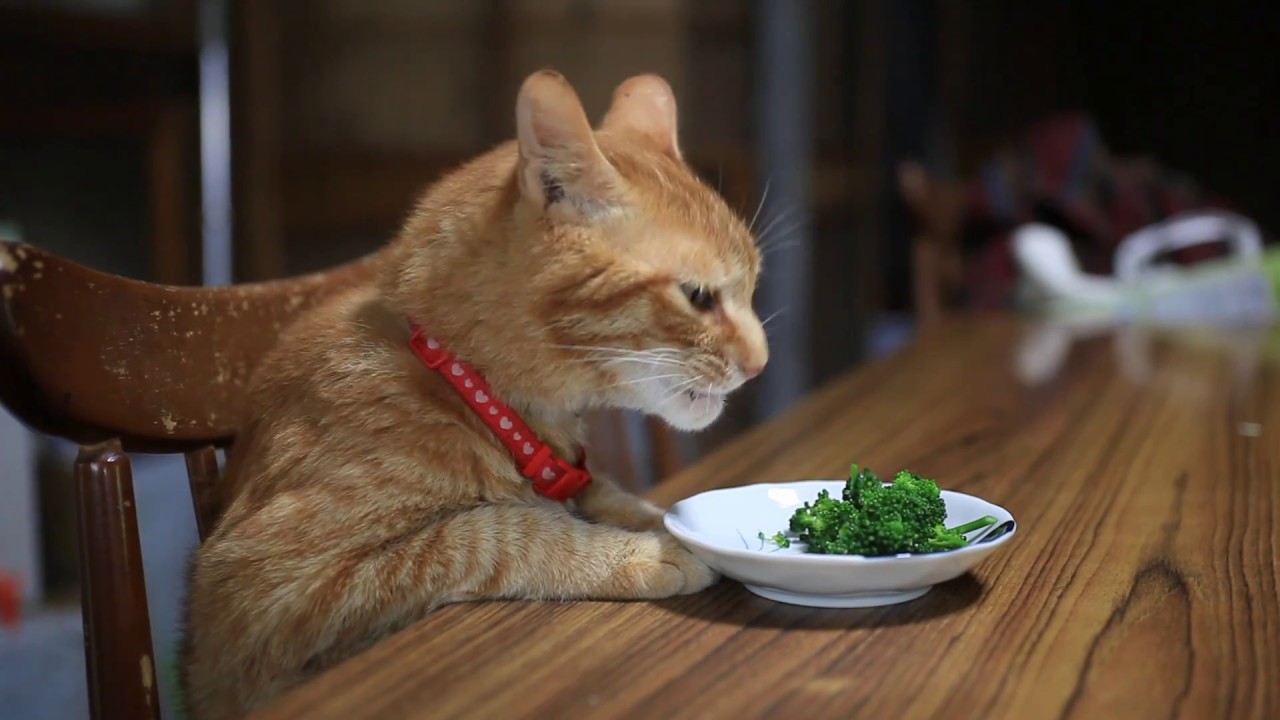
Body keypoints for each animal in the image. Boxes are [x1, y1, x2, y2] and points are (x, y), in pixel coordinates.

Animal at [180, 68, 768, 717]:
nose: (760, 363)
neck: (471, 392)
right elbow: (497, 534)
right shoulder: (263, 599)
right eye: (698, 296)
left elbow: (615, 498)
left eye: (752, 285)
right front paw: (640, 552)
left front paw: (659, 521)